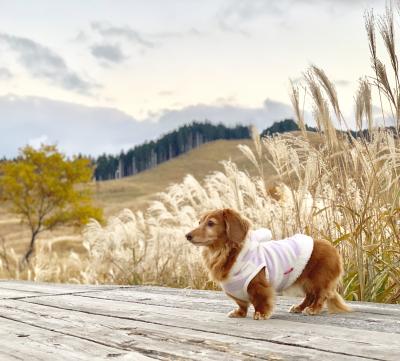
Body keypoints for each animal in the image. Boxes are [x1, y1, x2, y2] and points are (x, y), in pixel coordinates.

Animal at [186, 207, 352, 320]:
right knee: (310, 296)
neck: (225, 253)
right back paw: (299, 307)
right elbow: (242, 303)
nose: (187, 235)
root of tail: (332, 247)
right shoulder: (236, 289)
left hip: (318, 279)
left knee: (320, 295)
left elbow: (260, 299)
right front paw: (239, 313)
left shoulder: (258, 284)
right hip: (304, 280)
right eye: (199, 222)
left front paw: (261, 313)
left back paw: (313, 309)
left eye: (211, 223)